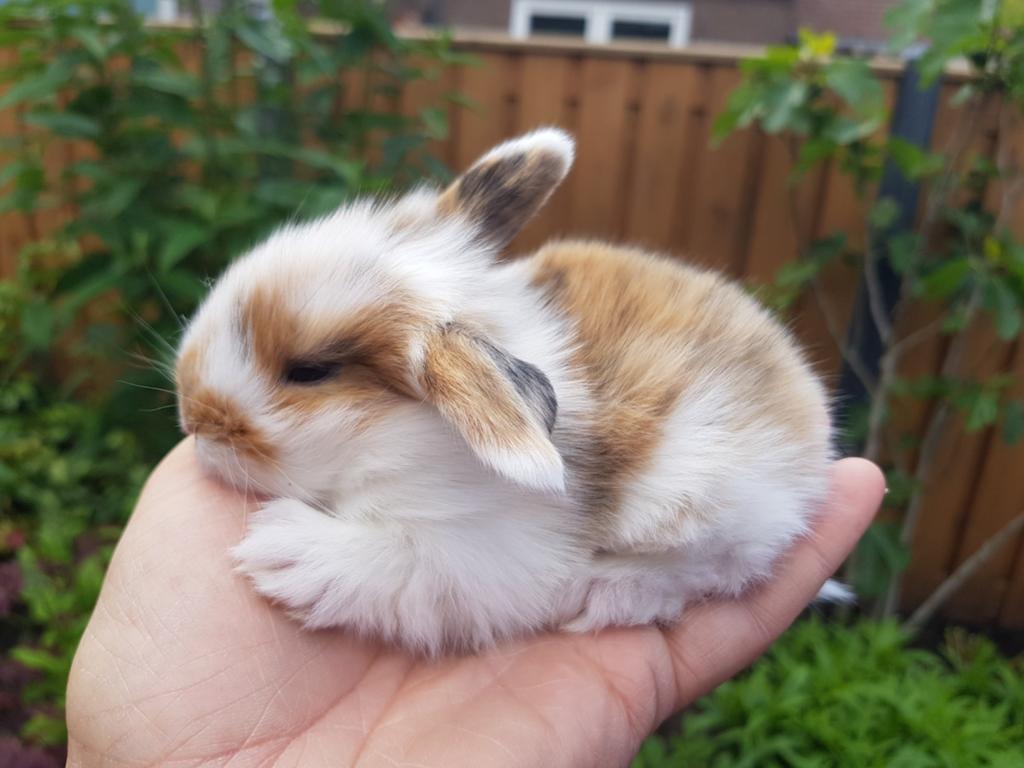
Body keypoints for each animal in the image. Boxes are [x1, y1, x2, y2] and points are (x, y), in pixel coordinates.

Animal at [175, 127, 840, 656]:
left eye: (309, 371)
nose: (194, 420)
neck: (398, 438)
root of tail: (809, 411)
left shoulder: (482, 556)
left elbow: (400, 562)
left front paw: (279, 551)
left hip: (703, 501)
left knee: (717, 567)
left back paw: (605, 591)